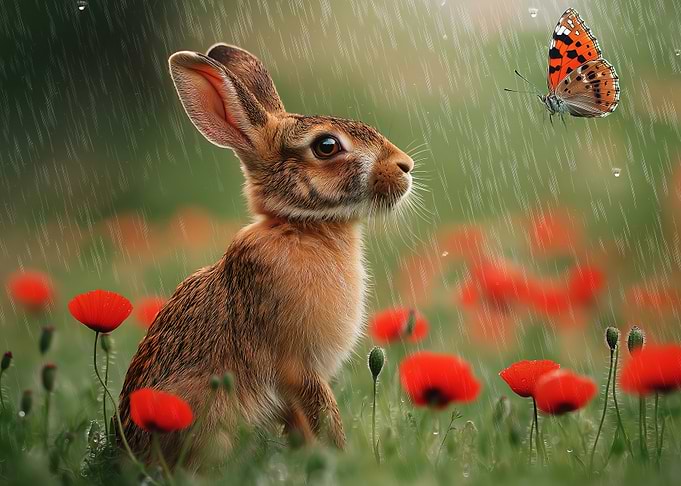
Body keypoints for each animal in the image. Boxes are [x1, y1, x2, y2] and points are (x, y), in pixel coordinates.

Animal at [118, 43, 414, 468]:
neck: (300, 227)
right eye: (327, 146)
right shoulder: (296, 365)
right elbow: (323, 411)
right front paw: (341, 456)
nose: (406, 166)